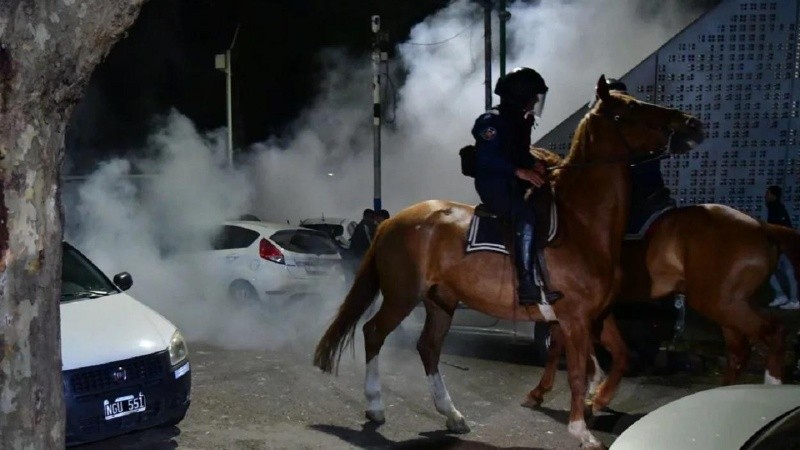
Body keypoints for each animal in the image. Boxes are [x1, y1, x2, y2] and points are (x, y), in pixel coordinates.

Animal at [314, 75, 708, 448]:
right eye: (629, 110)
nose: (692, 124)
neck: (581, 223)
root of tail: (392, 221)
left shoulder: (597, 315)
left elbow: (618, 356)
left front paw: (595, 401)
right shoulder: (575, 318)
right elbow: (576, 372)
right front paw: (581, 429)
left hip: (440, 301)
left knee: (428, 348)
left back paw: (451, 414)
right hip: (402, 296)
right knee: (373, 333)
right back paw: (376, 405)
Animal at [524, 204, 800, 412]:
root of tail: (762, 226)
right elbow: (564, 345)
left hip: (723, 303)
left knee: (774, 333)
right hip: (726, 306)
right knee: (738, 352)